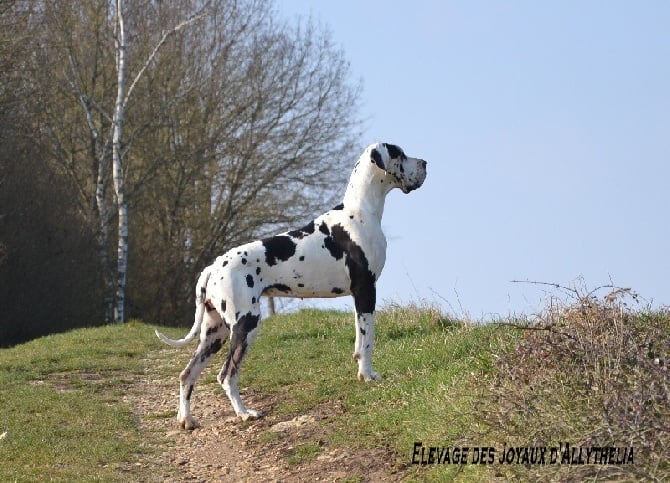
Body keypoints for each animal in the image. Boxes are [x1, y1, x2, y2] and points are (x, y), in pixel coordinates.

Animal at [156, 144, 430, 432]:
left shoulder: (359, 296)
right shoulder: (366, 290)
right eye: (399, 154)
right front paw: (367, 375)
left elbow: (358, 340)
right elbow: (368, 341)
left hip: (214, 332)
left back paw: (186, 419)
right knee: (226, 375)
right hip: (245, 325)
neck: (361, 211)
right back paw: (245, 413)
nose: (425, 163)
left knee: (187, 374)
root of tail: (212, 267)